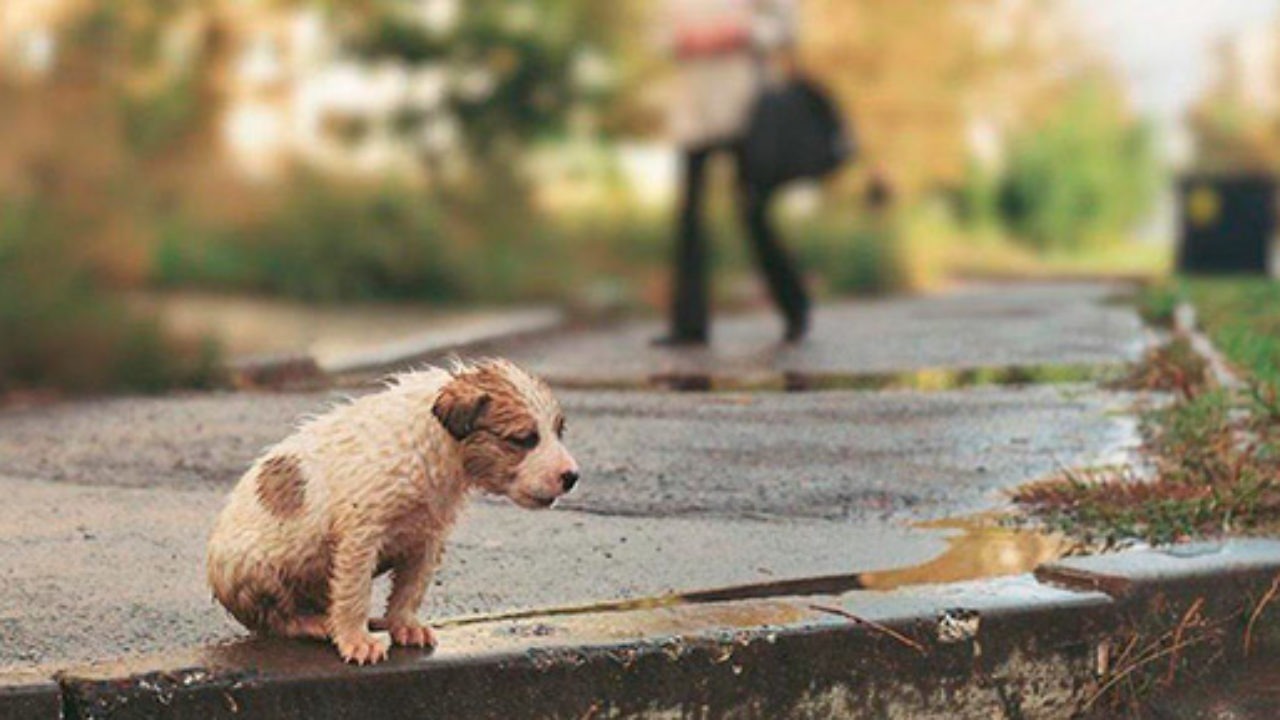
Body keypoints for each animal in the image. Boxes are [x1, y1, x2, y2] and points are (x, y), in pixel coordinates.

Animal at [206, 356, 581, 661]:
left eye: (558, 431)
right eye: (523, 439)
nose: (572, 477)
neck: (437, 444)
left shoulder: (427, 538)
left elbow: (410, 589)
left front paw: (404, 624)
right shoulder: (361, 535)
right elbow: (354, 592)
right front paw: (355, 639)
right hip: (256, 569)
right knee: (275, 617)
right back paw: (314, 623)